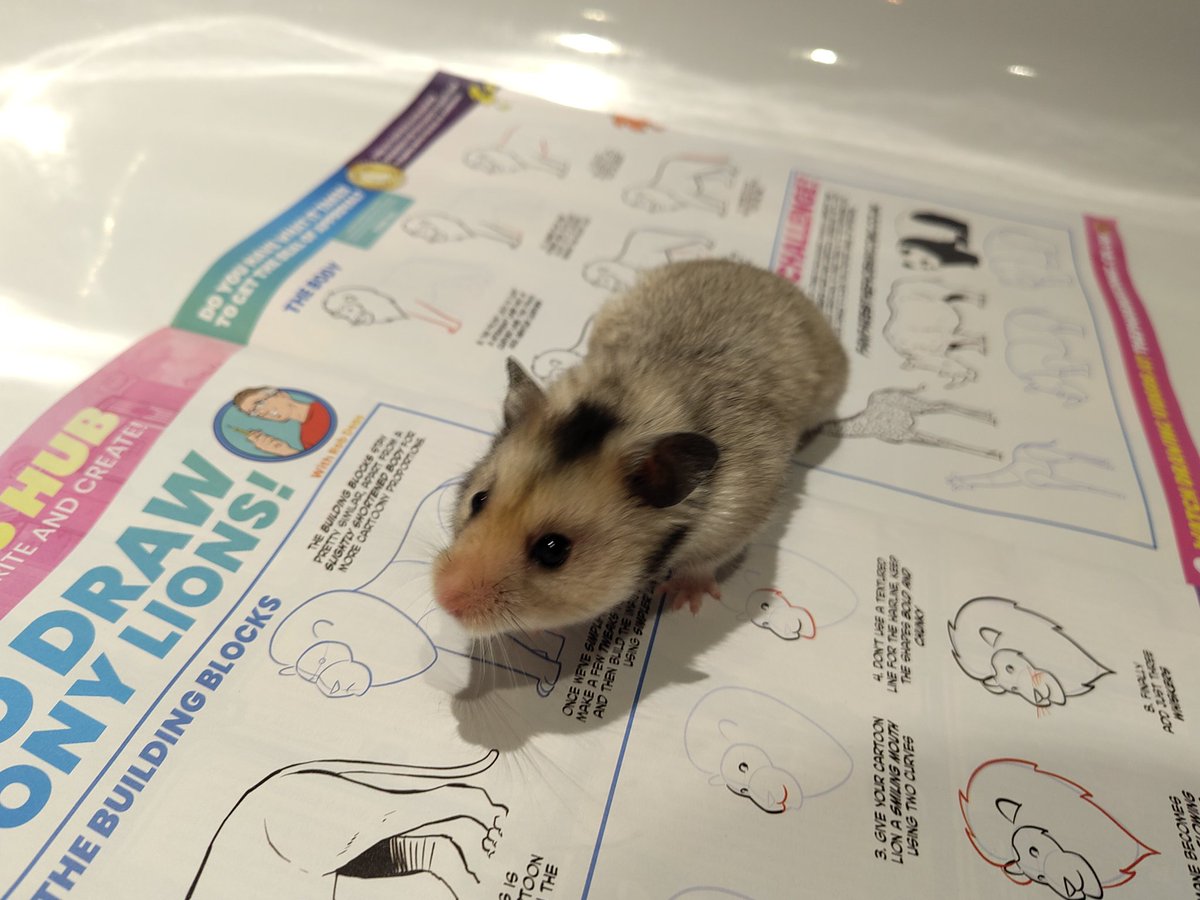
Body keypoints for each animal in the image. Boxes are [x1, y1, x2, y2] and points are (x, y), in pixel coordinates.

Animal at [432, 259, 848, 637]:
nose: (442, 598)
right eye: (478, 500)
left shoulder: (736, 518)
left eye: (553, 550)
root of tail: (767, 275)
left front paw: (683, 601)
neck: (628, 408)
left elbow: (703, 564)